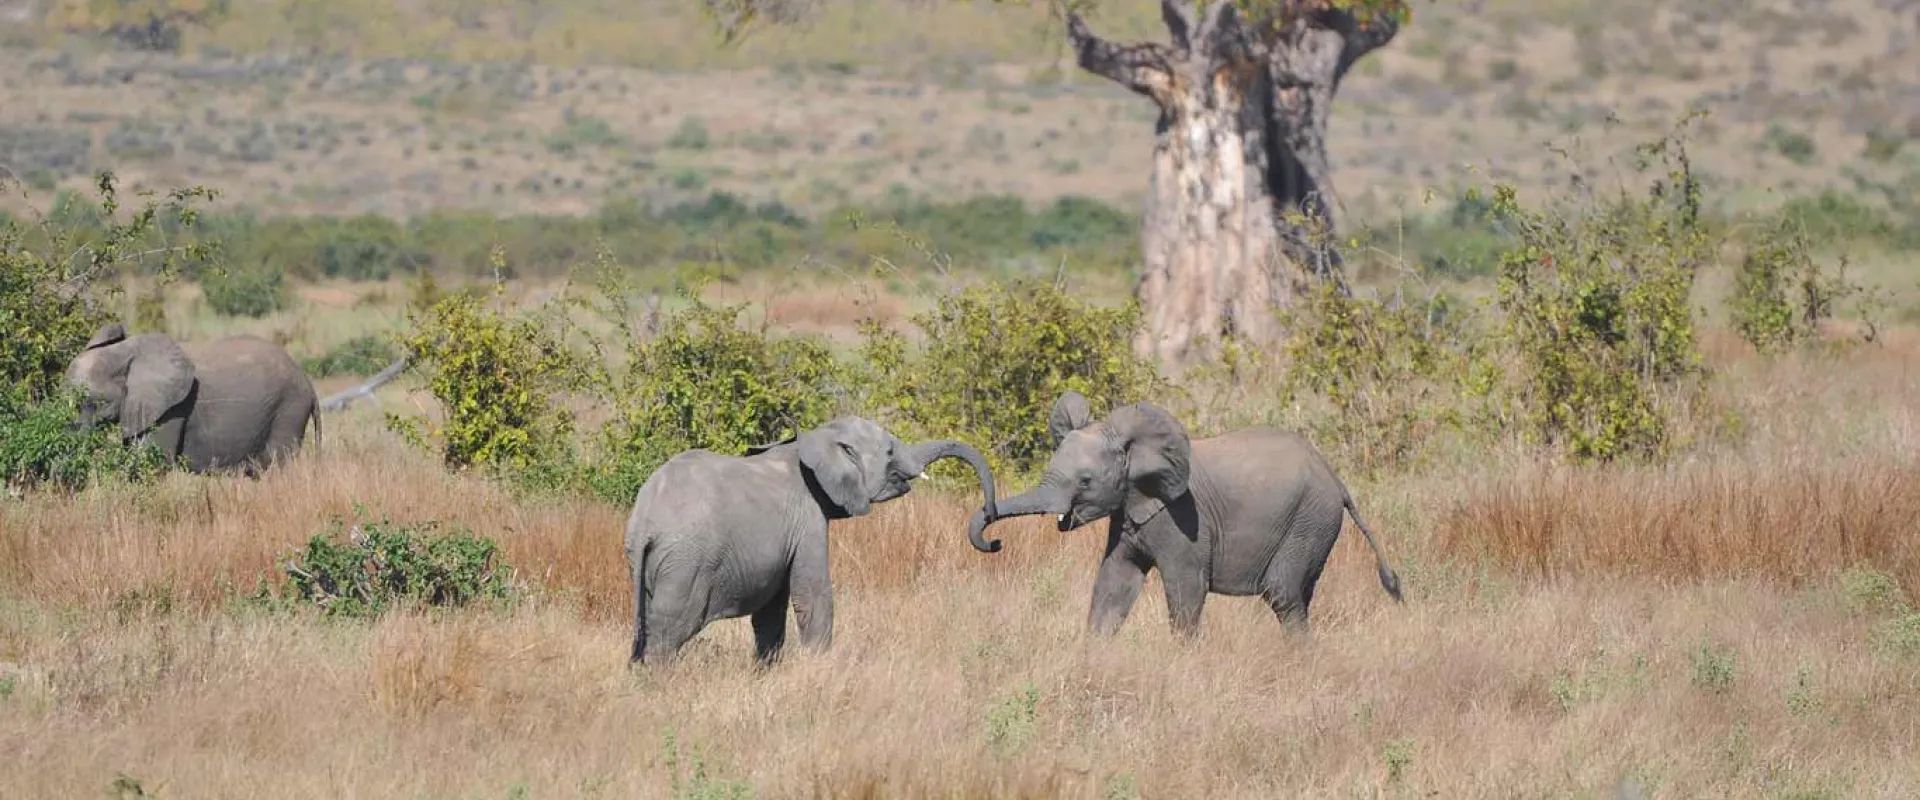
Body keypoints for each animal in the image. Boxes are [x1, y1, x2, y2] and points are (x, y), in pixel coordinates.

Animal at [64, 323, 321, 476]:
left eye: (94, 403)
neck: (123, 351)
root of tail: (308, 382)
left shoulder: (172, 408)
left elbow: (151, 462)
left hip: (288, 409)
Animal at [624, 415, 998, 666]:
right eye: (890, 451)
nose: (992, 536)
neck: (817, 437)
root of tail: (645, 521)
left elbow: (771, 611)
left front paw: (767, 672)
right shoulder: (808, 519)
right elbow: (812, 595)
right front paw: (820, 668)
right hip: (686, 564)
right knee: (670, 631)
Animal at [965, 392, 1401, 638]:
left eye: (1085, 481)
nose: (995, 540)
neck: (1136, 450)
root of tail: (1337, 481)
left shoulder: (1182, 519)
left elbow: (1185, 590)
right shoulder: (1129, 512)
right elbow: (1113, 585)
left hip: (1309, 520)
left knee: (1283, 595)